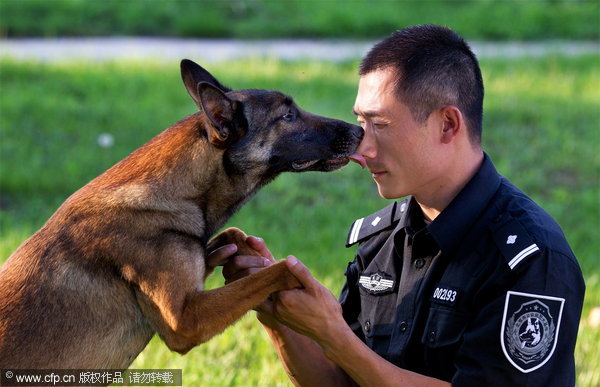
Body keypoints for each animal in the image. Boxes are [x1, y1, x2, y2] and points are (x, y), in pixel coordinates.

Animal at [0, 59, 360, 368]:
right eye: (287, 116)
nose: (359, 132)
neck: (177, 191)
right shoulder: (185, 321)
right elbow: (282, 268)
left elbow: (231, 237)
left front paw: (242, 254)